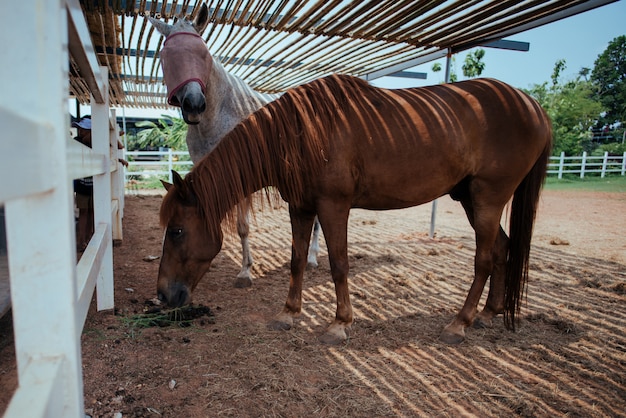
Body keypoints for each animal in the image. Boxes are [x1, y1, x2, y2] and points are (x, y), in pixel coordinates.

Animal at [148, 5, 320, 288]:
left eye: (204, 54)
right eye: (166, 57)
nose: (194, 105)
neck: (218, 116)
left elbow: (242, 227)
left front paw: (245, 272)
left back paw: (314, 257)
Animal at [157, 73, 552, 344]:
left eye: (177, 230)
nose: (163, 295)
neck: (301, 131)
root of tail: (532, 107)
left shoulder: (333, 206)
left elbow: (338, 264)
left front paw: (339, 324)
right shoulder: (301, 207)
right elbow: (297, 261)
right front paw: (288, 314)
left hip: (489, 197)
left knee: (484, 259)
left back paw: (460, 323)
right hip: (471, 198)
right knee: (502, 249)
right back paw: (488, 313)